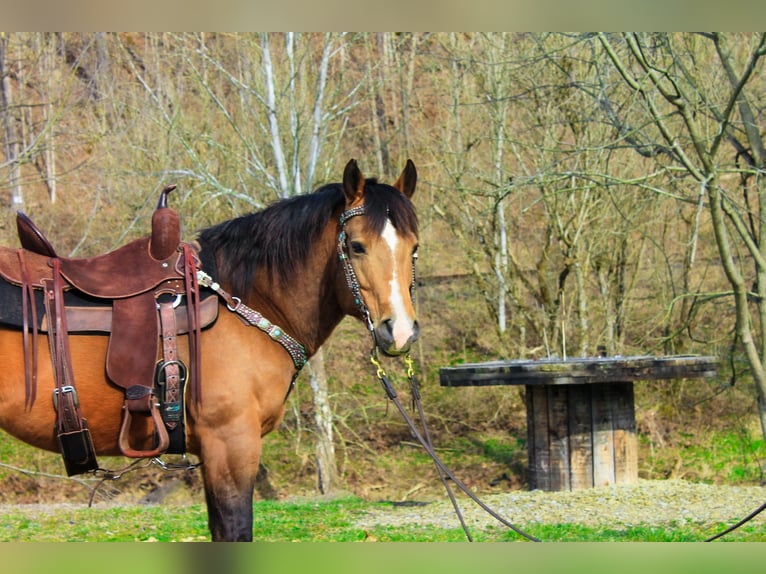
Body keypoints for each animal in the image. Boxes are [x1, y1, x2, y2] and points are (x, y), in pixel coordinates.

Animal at [0, 160, 420, 544]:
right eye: (356, 246)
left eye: (414, 248)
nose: (399, 331)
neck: (248, 303)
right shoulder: (230, 445)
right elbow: (235, 531)